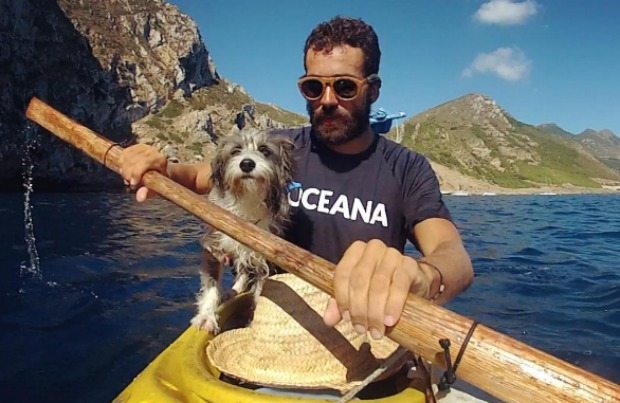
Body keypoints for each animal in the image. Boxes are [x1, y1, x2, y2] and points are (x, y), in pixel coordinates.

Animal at [190, 129, 294, 334]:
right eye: (235, 150)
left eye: (264, 150)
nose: (246, 163)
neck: (246, 198)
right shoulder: (214, 247)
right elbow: (211, 286)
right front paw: (207, 316)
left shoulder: (264, 260)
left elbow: (259, 295)